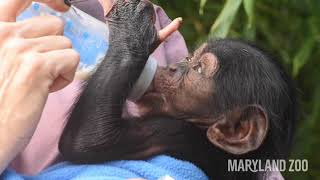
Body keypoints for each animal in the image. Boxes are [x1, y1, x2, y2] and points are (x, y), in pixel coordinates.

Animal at [58, 0, 298, 179]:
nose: (173, 67)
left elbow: (92, 139)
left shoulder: (172, 132)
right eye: (189, 58)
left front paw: (131, 27)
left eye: (199, 69)